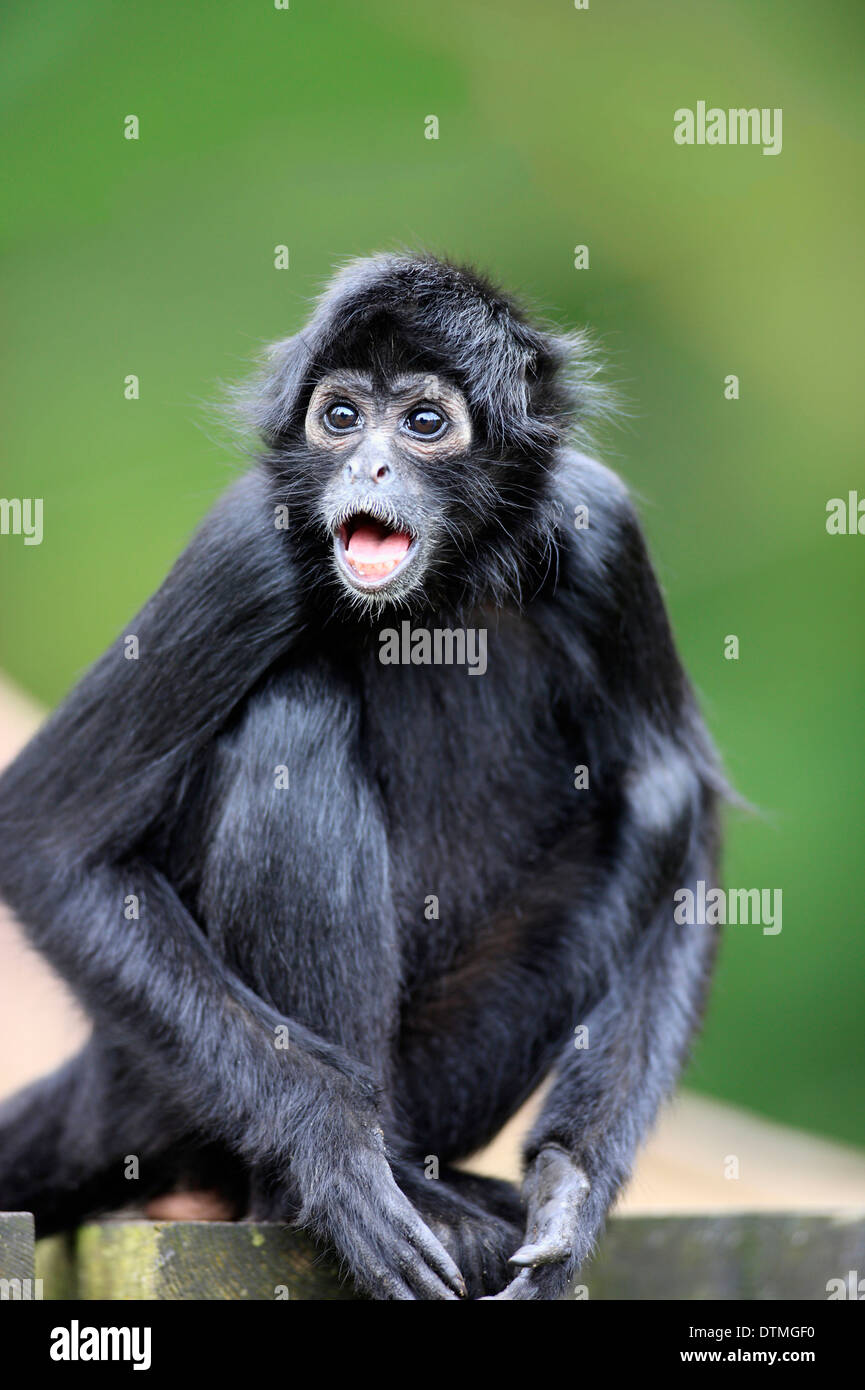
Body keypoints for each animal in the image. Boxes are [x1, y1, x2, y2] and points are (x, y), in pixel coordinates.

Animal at [0, 252, 728, 1301]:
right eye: (340, 417)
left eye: (422, 423)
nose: (368, 468)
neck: (437, 599)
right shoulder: (249, 547)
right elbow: (45, 842)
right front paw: (337, 1155)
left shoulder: (604, 535)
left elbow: (688, 826)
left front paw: (570, 1189)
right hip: (163, 1092)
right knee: (294, 716)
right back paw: (342, 1190)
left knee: (656, 801)